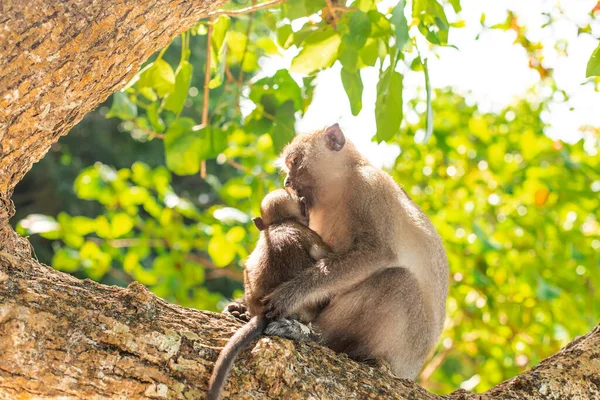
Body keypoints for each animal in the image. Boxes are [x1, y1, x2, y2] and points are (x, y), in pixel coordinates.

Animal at [264, 124, 448, 378]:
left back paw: (314, 335)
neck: (342, 184)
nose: (287, 181)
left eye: (295, 161)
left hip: (406, 348)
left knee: (400, 281)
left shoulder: (369, 188)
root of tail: (411, 371)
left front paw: (291, 294)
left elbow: (376, 253)